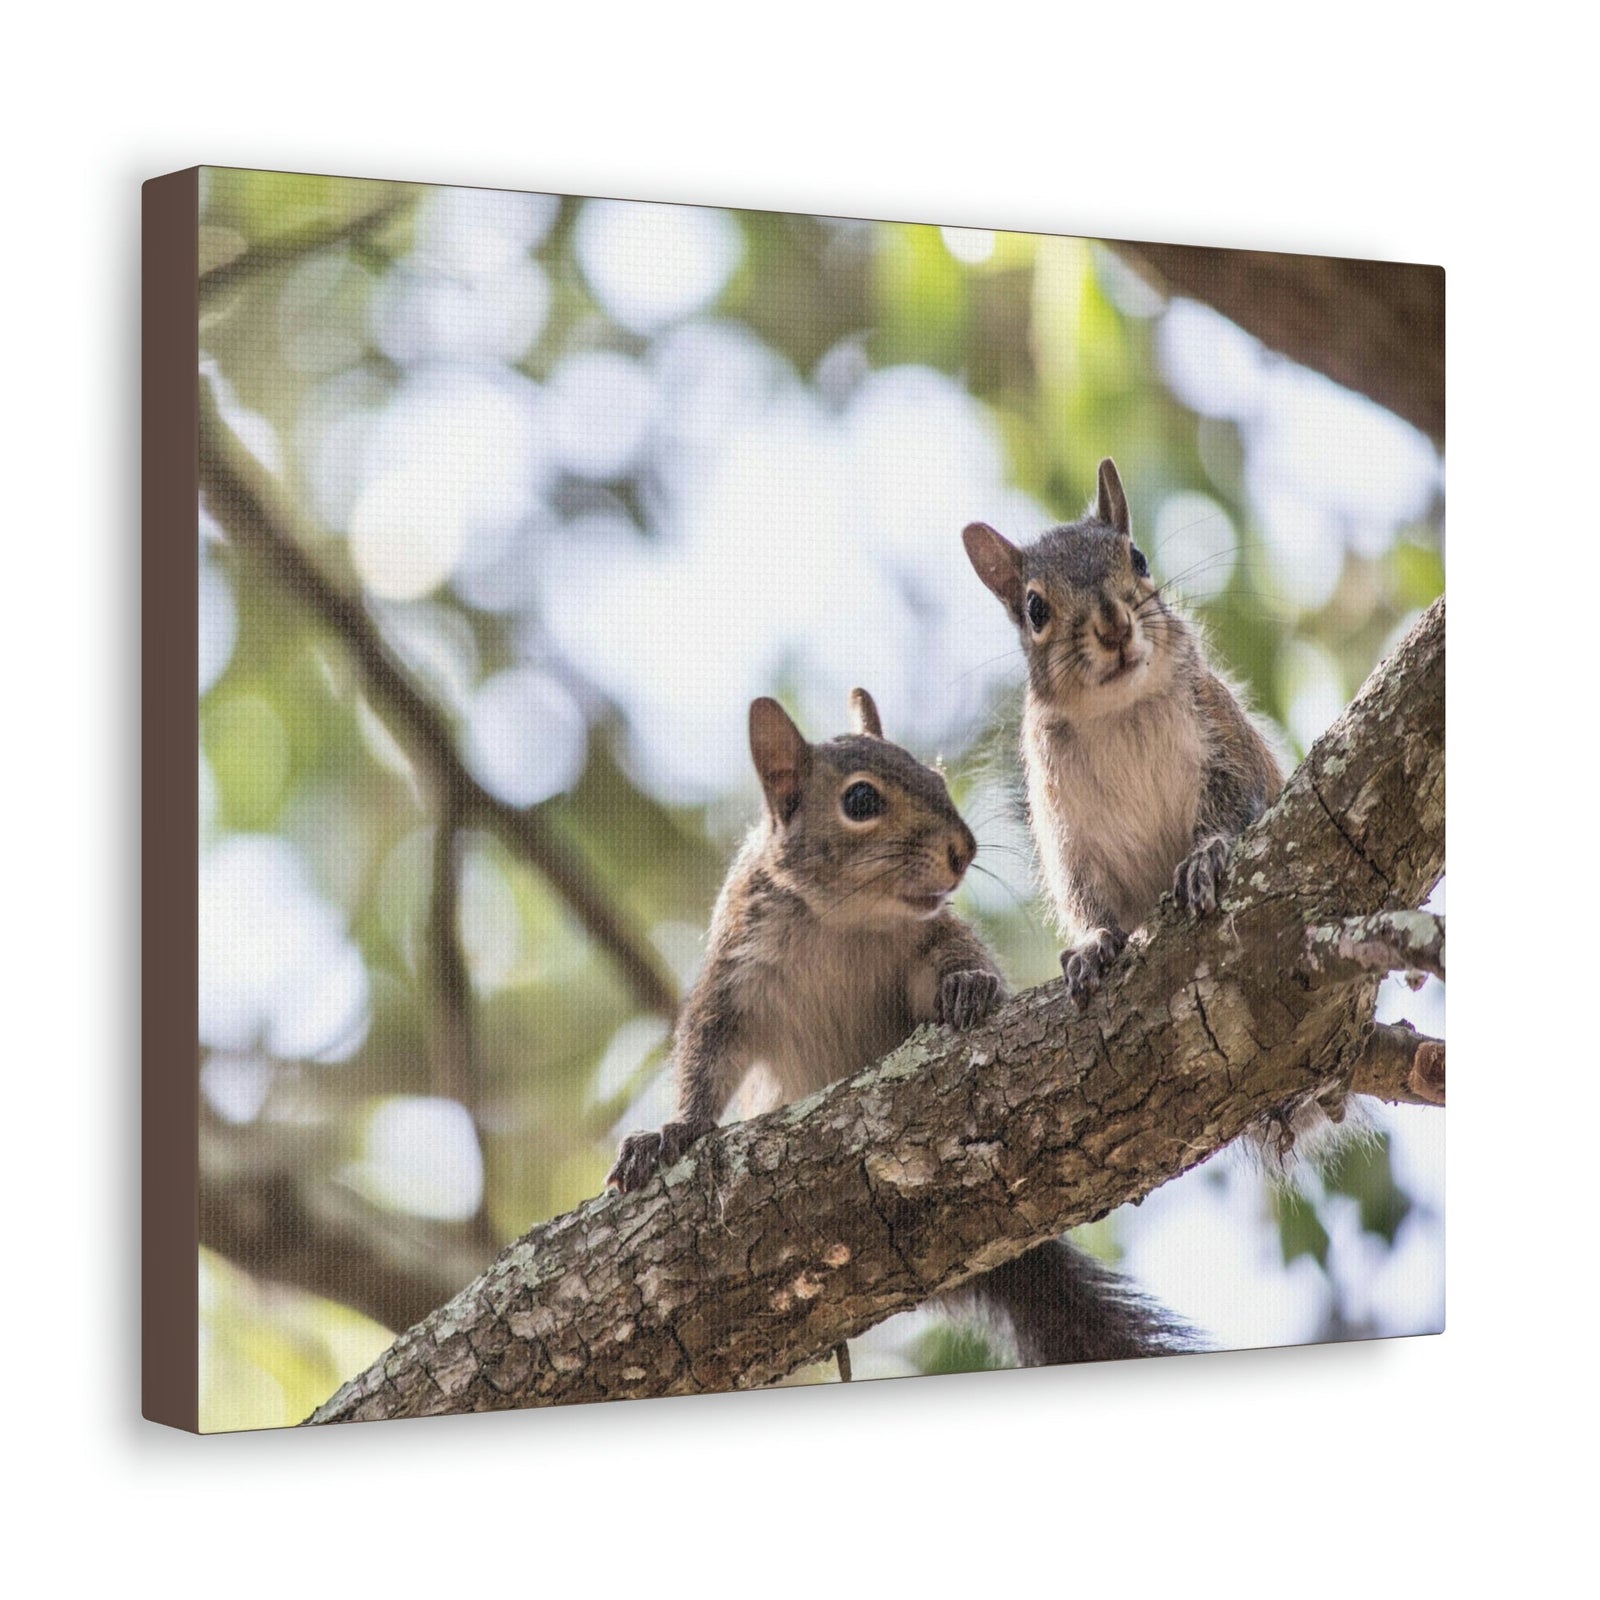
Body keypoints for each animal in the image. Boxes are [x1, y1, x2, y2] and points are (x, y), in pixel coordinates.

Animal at [607, 688, 1190, 1368]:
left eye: (936, 778)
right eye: (861, 800)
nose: (964, 851)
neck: (843, 921)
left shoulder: (927, 939)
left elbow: (954, 963)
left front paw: (970, 986)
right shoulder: (734, 973)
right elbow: (706, 1052)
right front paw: (674, 1132)